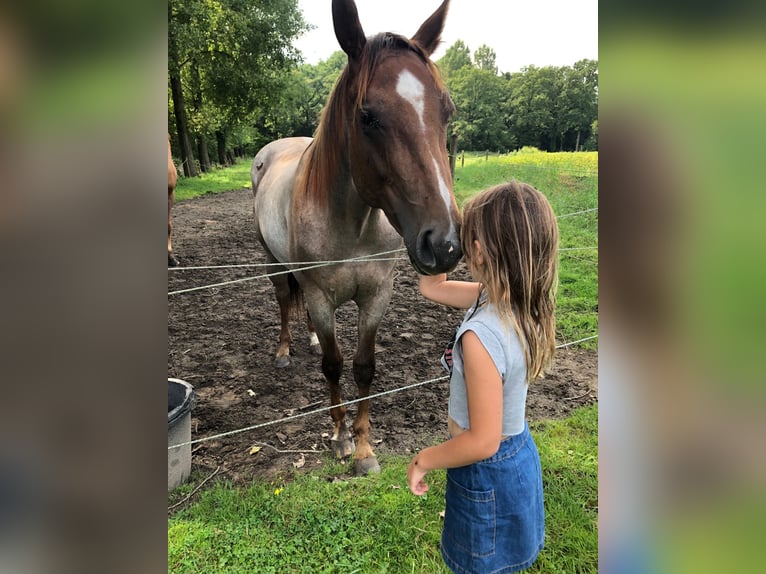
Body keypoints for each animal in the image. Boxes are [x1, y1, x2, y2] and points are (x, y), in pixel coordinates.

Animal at [252, 0, 462, 476]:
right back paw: (284, 351)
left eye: (447, 111)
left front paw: (365, 449)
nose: (443, 244)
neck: (353, 225)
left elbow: (364, 367)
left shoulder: (376, 295)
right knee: (283, 300)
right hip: (274, 264)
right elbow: (333, 366)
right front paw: (341, 437)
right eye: (368, 117)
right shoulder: (319, 296)